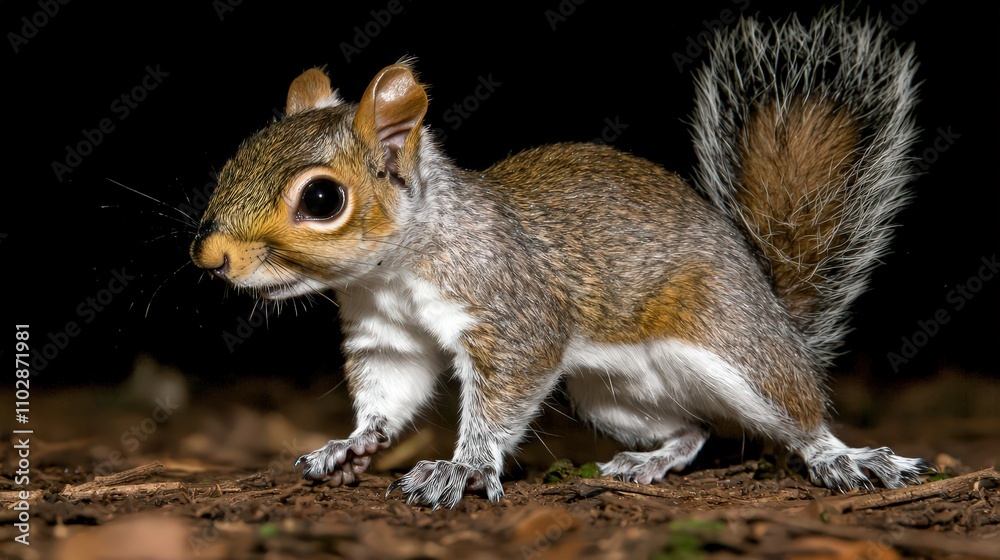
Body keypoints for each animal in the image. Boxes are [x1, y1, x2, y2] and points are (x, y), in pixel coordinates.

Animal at [190, 8, 932, 508]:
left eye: (322, 198)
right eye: (235, 158)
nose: (210, 257)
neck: (394, 272)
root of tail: (777, 314)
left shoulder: (512, 310)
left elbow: (500, 397)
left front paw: (461, 468)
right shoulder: (388, 335)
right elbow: (389, 394)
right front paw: (353, 445)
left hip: (731, 342)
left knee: (795, 411)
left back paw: (843, 458)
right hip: (610, 397)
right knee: (694, 429)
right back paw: (650, 463)